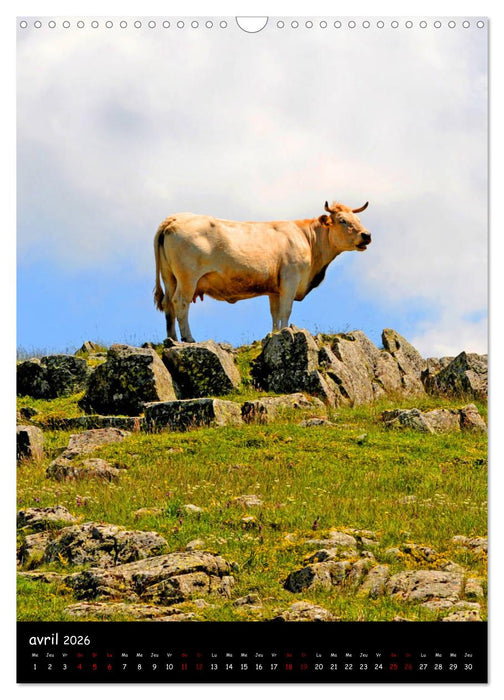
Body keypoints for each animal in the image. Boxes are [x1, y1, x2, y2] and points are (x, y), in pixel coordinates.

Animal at [154, 200, 371, 342]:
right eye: (342, 220)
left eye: (358, 219)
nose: (367, 235)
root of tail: (174, 218)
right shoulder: (291, 279)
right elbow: (286, 310)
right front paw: (286, 332)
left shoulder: (274, 288)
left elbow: (274, 313)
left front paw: (274, 335)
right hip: (188, 277)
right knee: (180, 302)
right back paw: (188, 338)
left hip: (169, 277)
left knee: (168, 304)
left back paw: (171, 339)